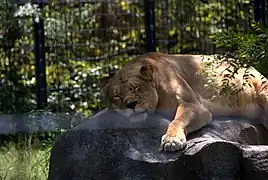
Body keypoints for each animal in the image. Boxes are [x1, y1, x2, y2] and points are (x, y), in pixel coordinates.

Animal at [102, 52, 268, 152]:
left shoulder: (191, 104)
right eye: (117, 96)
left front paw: (172, 140)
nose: (130, 105)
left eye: (136, 87)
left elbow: (177, 120)